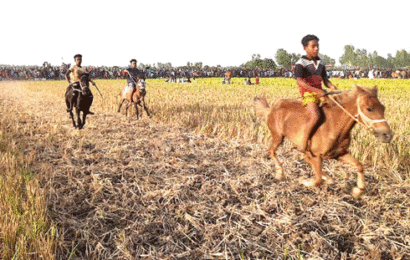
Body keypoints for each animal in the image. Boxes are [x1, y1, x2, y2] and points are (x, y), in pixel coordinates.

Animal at [253, 86, 394, 197]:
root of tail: (270, 108)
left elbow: (359, 165)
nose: (388, 135)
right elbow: (318, 179)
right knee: (271, 151)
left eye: (383, 108)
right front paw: (305, 181)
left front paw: (358, 191)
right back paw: (279, 173)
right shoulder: (315, 155)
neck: (333, 126)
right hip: (278, 136)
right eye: (369, 108)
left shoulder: (339, 154)